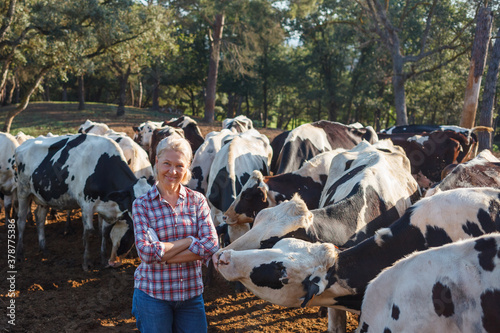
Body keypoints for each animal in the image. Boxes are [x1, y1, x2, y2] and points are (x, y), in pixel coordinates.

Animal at [15, 133, 150, 270]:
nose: (113, 262)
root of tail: (25, 143)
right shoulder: (86, 205)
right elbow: (89, 232)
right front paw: (87, 263)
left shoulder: (108, 208)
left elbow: (104, 232)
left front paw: (103, 259)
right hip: (23, 191)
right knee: (21, 221)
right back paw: (19, 254)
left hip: (43, 196)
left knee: (40, 218)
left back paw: (43, 249)